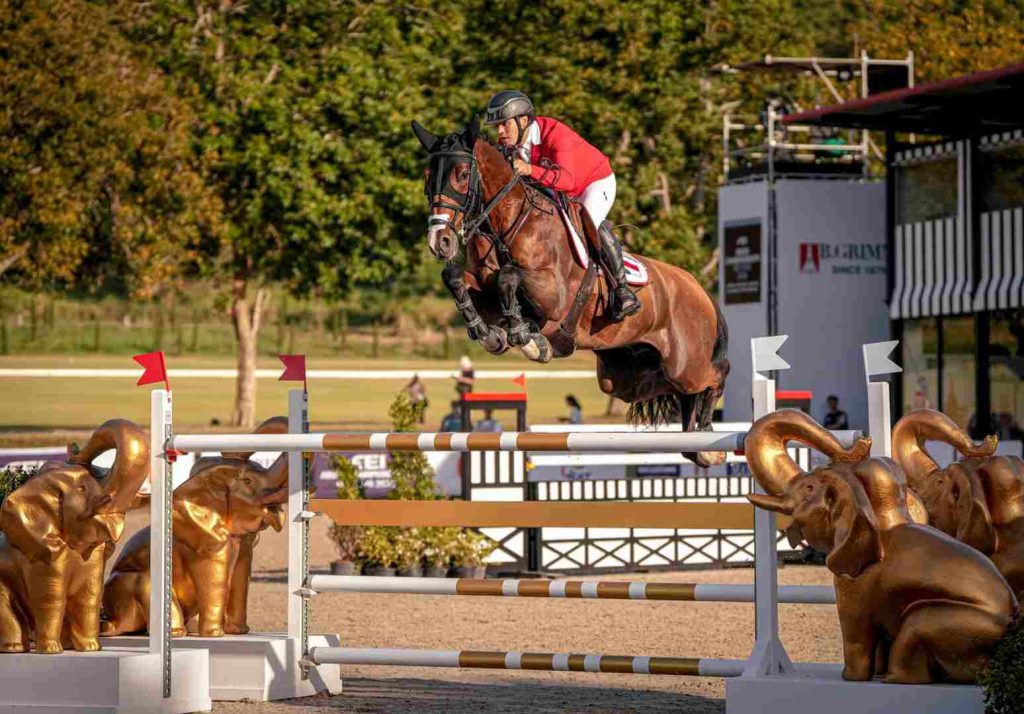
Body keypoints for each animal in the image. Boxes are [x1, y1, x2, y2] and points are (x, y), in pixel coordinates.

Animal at [412, 116, 729, 467]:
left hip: (685, 362)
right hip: (626, 376)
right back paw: (697, 438)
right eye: (428, 179)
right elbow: (455, 277)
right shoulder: (484, 288)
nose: (440, 242)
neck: (508, 223)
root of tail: (699, 289)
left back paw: (709, 437)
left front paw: (525, 337)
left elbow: (508, 277)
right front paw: (487, 332)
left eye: (462, 175)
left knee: (714, 375)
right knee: (673, 391)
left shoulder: (554, 296)